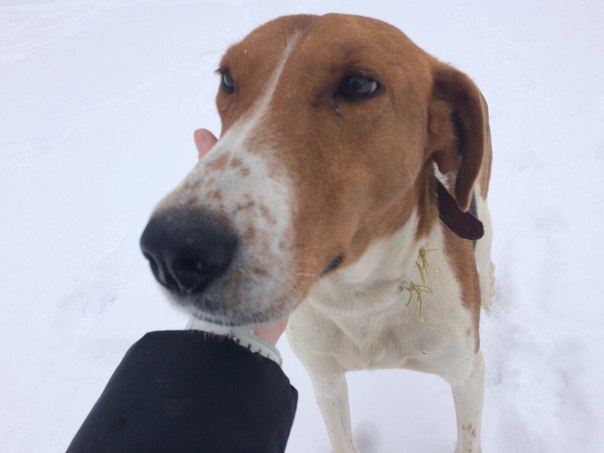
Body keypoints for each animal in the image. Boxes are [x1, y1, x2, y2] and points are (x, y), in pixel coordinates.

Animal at [140, 13, 494, 453]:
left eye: (359, 85)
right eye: (228, 79)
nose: (171, 250)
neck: (361, 301)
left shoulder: (468, 374)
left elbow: (468, 435)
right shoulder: (325, 381)